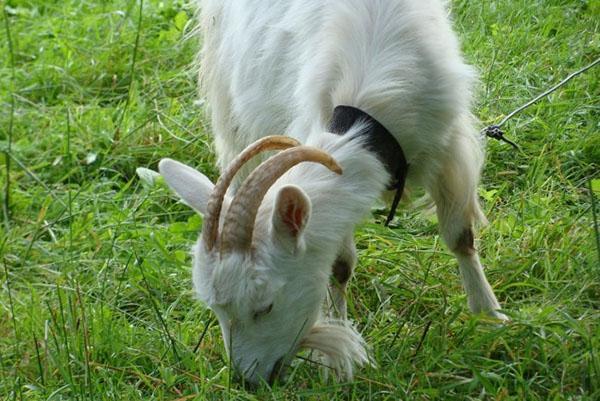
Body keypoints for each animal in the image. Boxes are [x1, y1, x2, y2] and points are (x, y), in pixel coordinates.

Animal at [158, 0, 506, 386]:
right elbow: (339, 266)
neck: (368, 122)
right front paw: (339, 341)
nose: (248, 381)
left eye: (265, 306)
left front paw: (490, 318)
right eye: (215, 309)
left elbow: (460, 237)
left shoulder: (448, 147)